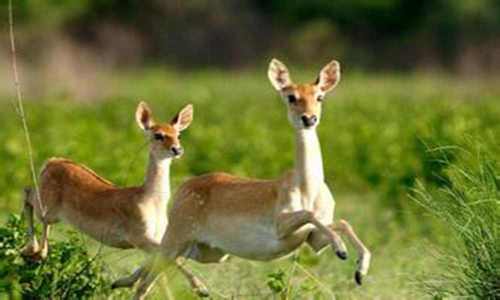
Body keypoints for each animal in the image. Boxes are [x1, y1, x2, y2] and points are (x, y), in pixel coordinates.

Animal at [19, 101, 203, 290]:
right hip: (45, 206)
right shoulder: (139, 237)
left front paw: (121, 282)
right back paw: (31, 250)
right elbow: (172, 260)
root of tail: (51, 162)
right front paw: (201, 288)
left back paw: (34, 253)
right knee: (27, 194)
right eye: (158, 135)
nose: (177, 149)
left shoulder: (156, 238)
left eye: (178, 135)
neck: (151, 201)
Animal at [125, 59, 372, 300]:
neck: (308, 189)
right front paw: (342, 250)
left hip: (205, 251)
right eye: (291, 96)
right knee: (145, 283)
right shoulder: (281, 226)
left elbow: (342, 222)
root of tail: (183, 188)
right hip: (177, 240)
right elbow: (308, 214)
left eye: (319, 96)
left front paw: (360, 270)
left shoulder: (314, 239)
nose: (309, 118)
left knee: (149, 269)